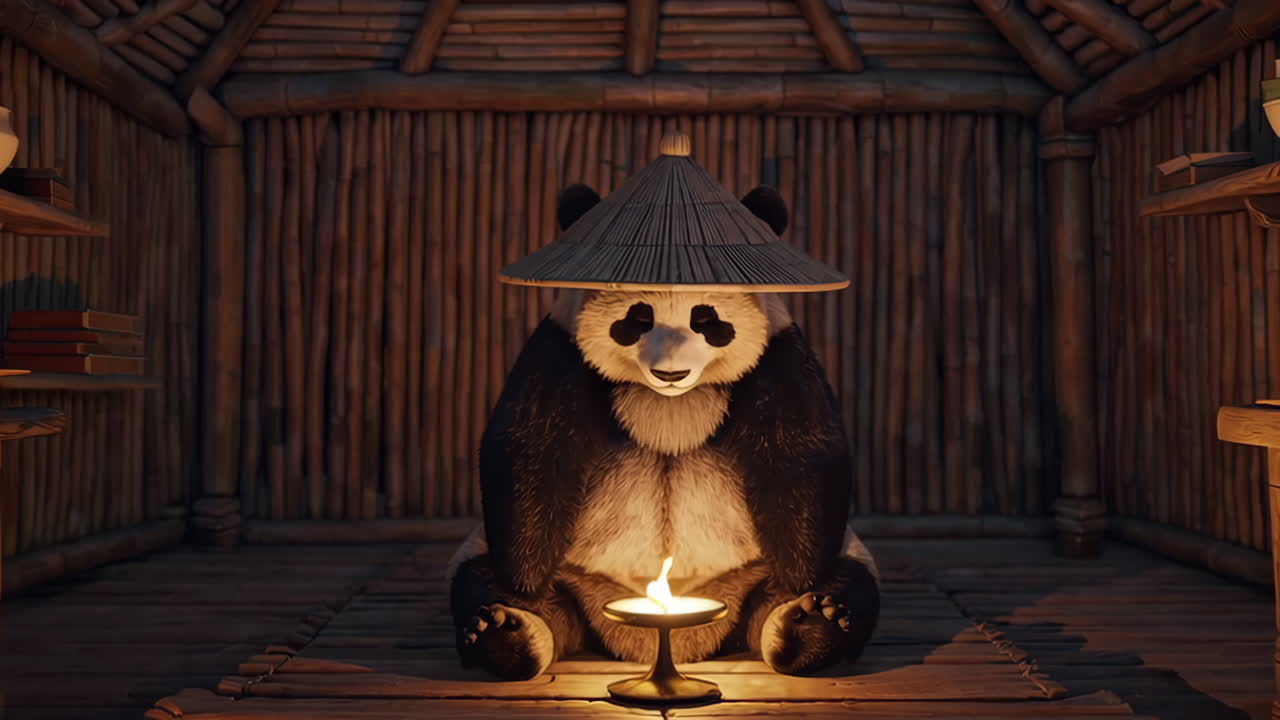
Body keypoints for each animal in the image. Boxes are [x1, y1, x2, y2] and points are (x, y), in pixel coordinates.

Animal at [447, 183, 879, 680]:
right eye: (638, 317)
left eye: (706, 318)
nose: (670, 373)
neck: (670, 403)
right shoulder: (559, 354)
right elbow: (530, 447)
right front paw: (524, 578)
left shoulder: (778, 357)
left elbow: (804, 454)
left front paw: (800, 579)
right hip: (546, 570)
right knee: (478, 581)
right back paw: (506, 629)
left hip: (779, 568)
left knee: (851, 584)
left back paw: (812, 623)